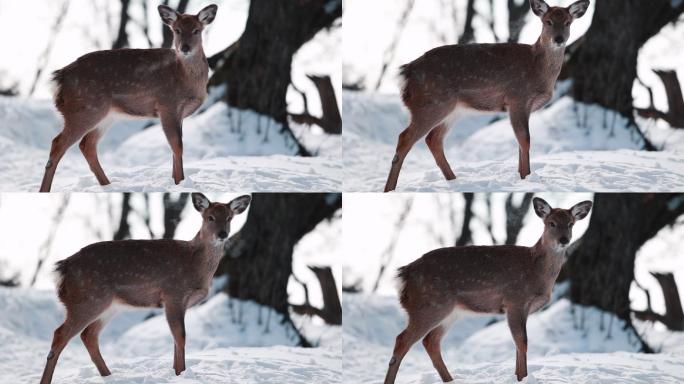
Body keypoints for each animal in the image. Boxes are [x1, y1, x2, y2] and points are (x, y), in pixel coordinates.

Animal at [38, 3, 219, 192]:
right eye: (177, 30)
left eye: (196, 30)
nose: (184, 48)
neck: (183, 75)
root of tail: (59, 79)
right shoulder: (167, 104)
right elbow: (177, 147)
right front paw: (180, 183)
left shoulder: (178, 113)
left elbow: (175, 148)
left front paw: (178, 182)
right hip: (83, 109)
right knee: (58, 143)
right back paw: (45, 190)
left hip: (105, 115)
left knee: (87, 144)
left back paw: (108, 185)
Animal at [38, 194, 251, 384]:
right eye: (210, 217)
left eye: (229, 218)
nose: (222, 234)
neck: (196, 265)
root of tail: (62, 268)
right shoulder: (173, 293)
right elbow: (180, 336)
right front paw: (181, 373)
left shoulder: (175, 302)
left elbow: (176, 339)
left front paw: (177, 373)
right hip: (87, 299)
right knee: (60, 334)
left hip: (109, 305)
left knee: (88, 335)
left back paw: (109, 376)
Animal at [382, 0, 592, 192]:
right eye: (548, 21)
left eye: (568, 22)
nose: (559, 39)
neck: (537, 68)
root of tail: (406, 73)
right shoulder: (517, 97)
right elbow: (525, 140)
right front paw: (526, 177)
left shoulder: (523, 107)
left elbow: (520, 142)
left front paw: (523, 177)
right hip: (431, 103)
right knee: (405, 138)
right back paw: (389, 189)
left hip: (452, 109)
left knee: (433, 139)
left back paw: (454, 180)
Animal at [384, 196, 592, 382]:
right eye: (551, 223)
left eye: (571, 223)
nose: (564, 240)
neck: (536, 271)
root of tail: (404, 274)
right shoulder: (515, 300)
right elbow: (522, 342)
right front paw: (522, 377)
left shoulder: (519, 308)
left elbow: (518, 344)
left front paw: (520, 377)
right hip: (429, 305)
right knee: (402, 340)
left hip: (450, 311)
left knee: (431, 341)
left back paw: (450, 380)